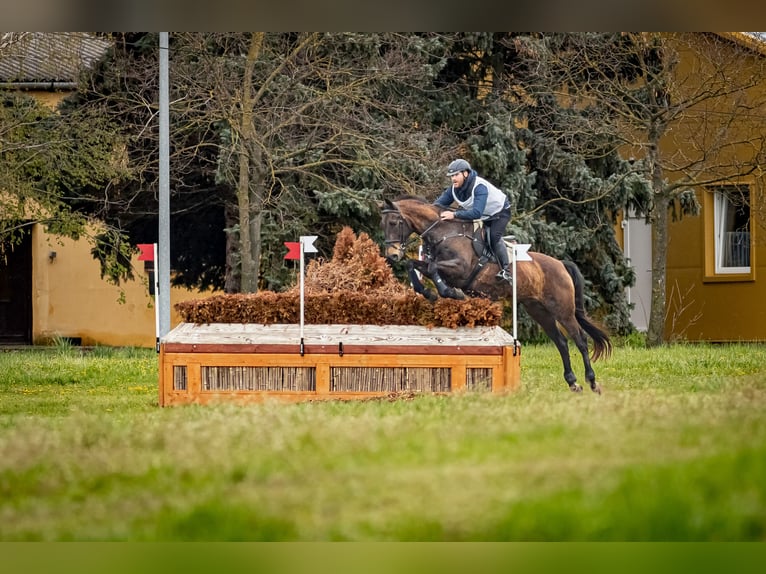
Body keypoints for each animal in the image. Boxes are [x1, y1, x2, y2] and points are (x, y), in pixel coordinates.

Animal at [380, 196, 616, 394]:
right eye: (385, 224)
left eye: (394, 223)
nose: (392, 255)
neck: (445, 231)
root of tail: (560, 264)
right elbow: (415, 265)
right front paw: (428, 292)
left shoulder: (459, 269)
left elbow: (433, 268)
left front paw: (450, 293)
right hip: (538, 310)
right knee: (561, 342)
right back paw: (572, 382)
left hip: (562, 310)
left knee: (580, 340)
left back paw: (592, 382)